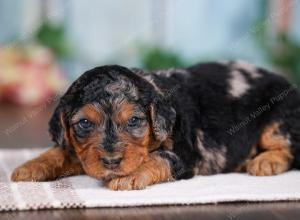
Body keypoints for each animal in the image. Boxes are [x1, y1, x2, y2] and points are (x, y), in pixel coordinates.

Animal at [10, 61, 300, 190]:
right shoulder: (82, 151)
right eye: (84, 123)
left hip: (279, 116)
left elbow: (159, 157)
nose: (112, 161)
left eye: (134, 121)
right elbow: (61, 151)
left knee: (286, 147)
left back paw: (264, 162)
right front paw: (29, 167)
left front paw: (127, 176)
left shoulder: (187, 154)